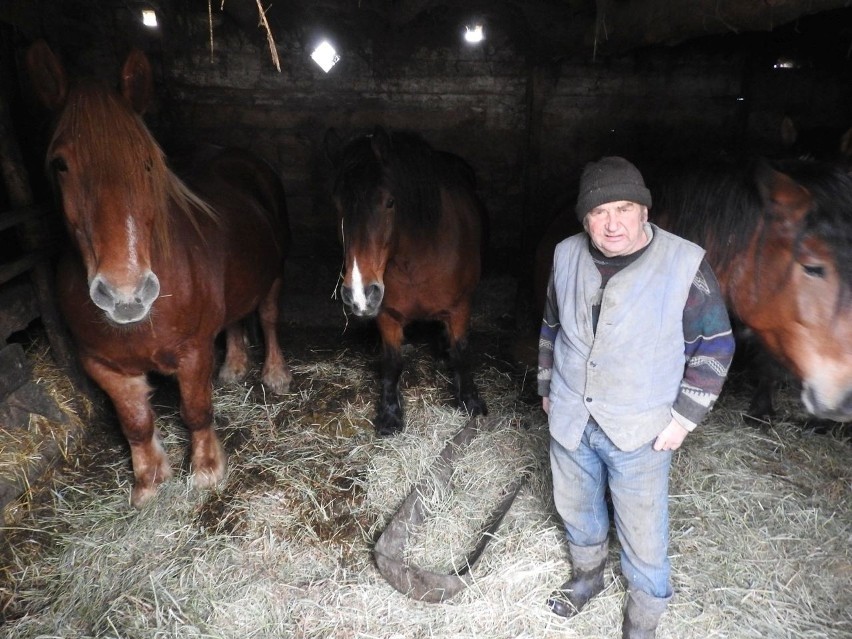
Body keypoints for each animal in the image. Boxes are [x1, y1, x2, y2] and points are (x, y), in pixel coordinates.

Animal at [26, 42, 292, 508]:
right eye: (60, 164)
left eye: (148, 163)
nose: (125, 293)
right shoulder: (102, 365)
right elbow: (136, 423)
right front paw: (148, 482)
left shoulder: (193, 351)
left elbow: (195, 411)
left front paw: (206, 470)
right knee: (236, 320)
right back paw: (235, 366)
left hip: (273, 277)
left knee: (268, 317)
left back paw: (274, 374)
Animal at [326, 126, 486, 436]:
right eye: (337, 203)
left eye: (389, 202)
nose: (360, 294)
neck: (416, 262)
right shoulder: (386, 314)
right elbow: (392, 363)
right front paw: (390, 415)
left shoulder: (461, 308)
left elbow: (461, 352)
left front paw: (470, 401)